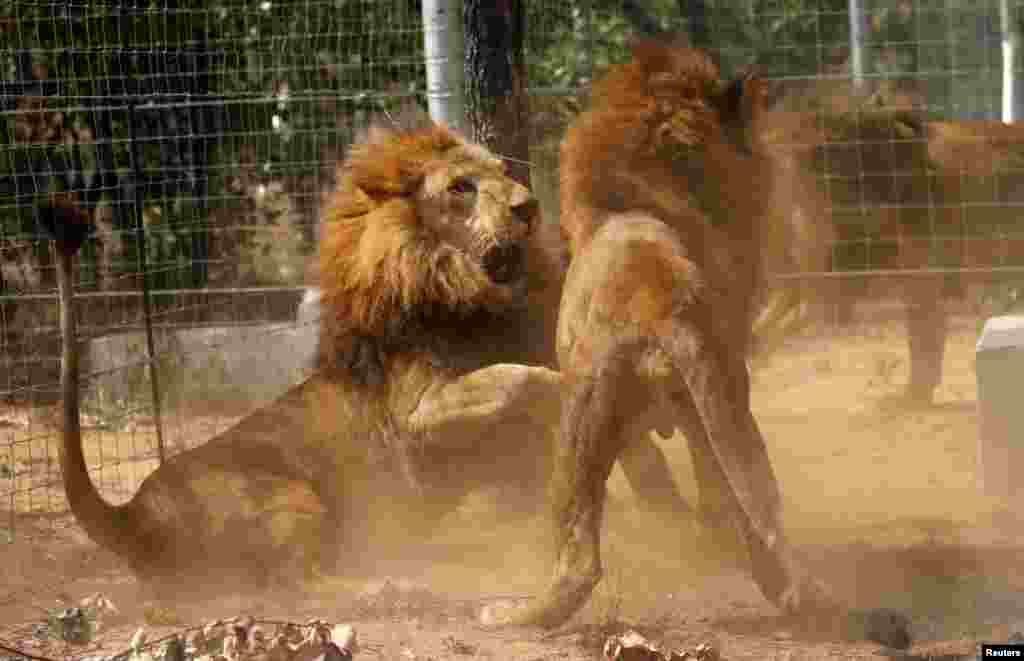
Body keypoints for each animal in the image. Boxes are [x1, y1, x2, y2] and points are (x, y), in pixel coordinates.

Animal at [58, 115, 696, 601]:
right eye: (461, 187)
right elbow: (523, 381)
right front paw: (579, 398)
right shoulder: (416, 422)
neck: (472, 294)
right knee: (293, 584)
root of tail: (136, 514)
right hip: (292, 499)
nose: (529, 205)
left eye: (502, 171)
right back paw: (392, 586)